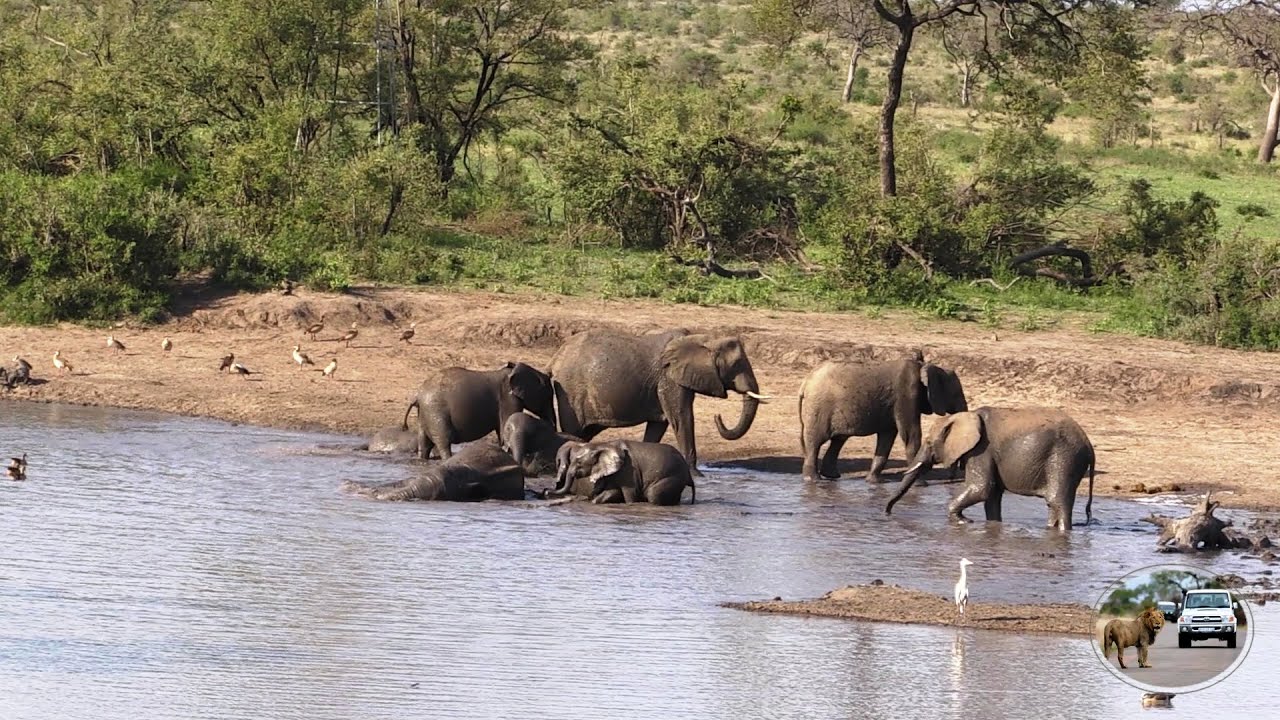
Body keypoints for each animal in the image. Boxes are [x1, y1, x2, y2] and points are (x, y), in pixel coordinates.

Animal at [401, 361, 554, 461]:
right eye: (548, 395)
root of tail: (417, 396)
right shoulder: (508, 398)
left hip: (425, 414)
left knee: (424, 443)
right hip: (435, 411)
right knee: (443, 441)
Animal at [549, 329, 768, 473]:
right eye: (737, 364)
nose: (718, 416)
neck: (704, 339)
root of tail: (555, 357)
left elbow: (659, 425)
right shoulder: (669, 379)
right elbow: (681, 418)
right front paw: (696, 474)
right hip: (570, 390)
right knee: (575, 430)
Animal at [549, 440, 696, 505]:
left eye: (579, 463)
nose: (546, 491)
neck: (602, 445)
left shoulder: (628, 472)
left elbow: (630, 496)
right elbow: (608, 491)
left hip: (673, 476)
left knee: (653, 495)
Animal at [798, 351, 967, 483]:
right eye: (957, 394)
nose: (951, 479)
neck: (925, 366)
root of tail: (806, 381)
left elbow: (887, 438)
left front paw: (874, 482)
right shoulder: (906, 394)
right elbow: (910, 435)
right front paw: (920, 484)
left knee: (838, 439)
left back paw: (832, 476)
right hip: (819, 407)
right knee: (816, 441)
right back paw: (813, 480)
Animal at [884, 406, 1096, 532]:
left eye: (928, 442)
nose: (887, 513)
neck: (964, 416)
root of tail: (1088, 444)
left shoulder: (981, 449)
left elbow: (981, 488)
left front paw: (963, 521)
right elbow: (992, 495)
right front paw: (991, 526)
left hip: (1064, 459)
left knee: (1057, 501)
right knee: (1053, 504)